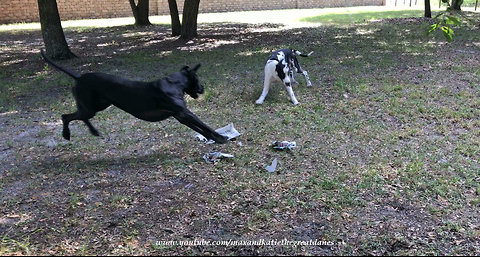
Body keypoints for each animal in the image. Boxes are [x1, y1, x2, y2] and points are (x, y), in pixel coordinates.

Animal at [41, 49, 229, 143]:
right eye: (197, 79)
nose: (203, 88)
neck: (175, 83)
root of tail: (79, 77)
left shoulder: (180, 116)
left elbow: (200, 128)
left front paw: (213, 139)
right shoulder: (185, 113)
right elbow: (205, 125)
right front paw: (221, 137)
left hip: (97, 106)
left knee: (78, 116)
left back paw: (93, 131)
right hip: (90, 107)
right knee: (65, 116)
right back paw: (66, 134)